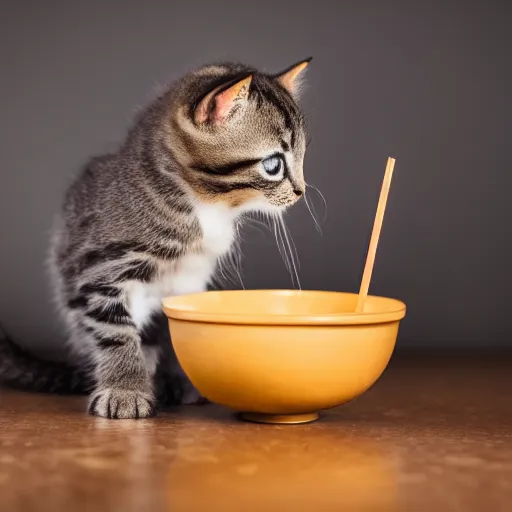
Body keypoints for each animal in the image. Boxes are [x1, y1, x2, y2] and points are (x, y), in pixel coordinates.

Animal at [0, 59, 312, 420]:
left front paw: (178, 377)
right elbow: (115, 332)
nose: (301, 191)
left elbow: (179, 332)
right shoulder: (99, 270)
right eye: (273, 165)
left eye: (303, 156)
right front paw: (125, 389)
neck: (202, 206)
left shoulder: (189, 286)